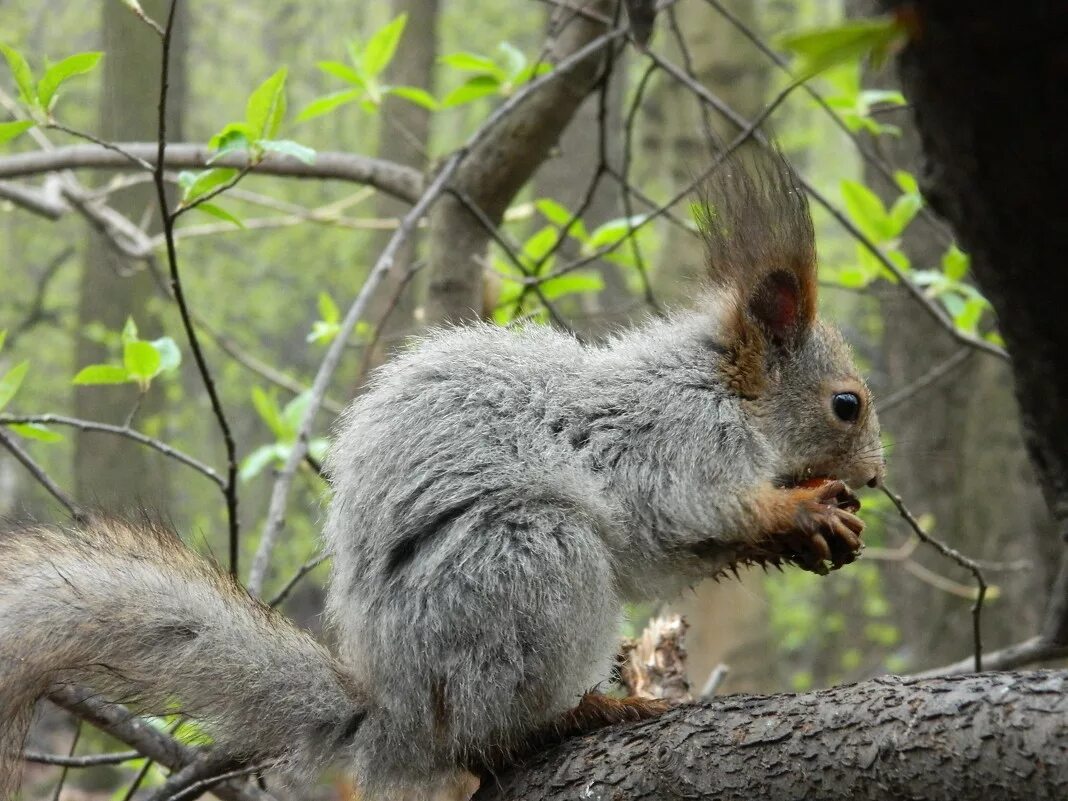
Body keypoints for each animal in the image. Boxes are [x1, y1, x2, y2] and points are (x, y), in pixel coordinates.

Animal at [0, 151, 884, 801]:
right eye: (847, 404)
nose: (876, 475)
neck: (722, 388)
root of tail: (396, 723)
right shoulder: (676, 450)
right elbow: (692, 517)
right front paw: (802, 512)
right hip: (534, 567)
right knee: (496, 734)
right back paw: (591, 708)